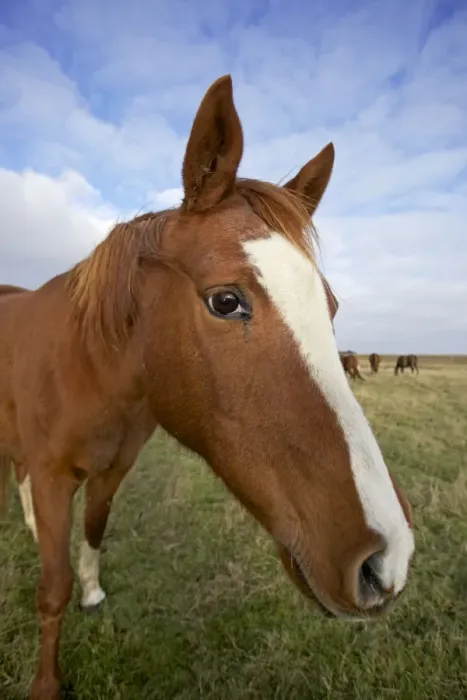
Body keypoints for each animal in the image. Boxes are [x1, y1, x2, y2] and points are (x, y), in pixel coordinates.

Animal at [0, 75, 414, 700]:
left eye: (332, 307)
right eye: (226, 301)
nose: (388, 560)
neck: (89, 367)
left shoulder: (112, 471)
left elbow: (93, 532)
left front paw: (93, 590)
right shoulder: (53, 479)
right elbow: (52, 589)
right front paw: (46, 684)